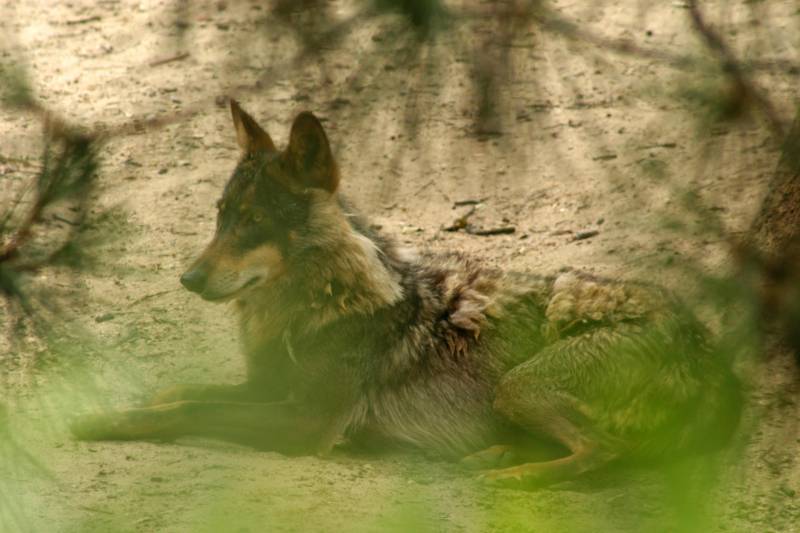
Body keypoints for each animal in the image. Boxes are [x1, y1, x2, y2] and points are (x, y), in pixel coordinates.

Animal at [72, 100, 740, 486]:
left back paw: (508, 477)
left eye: (254, 224)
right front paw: (127, 403)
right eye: (220, 218)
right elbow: (179, 393)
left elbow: (186, 409)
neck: (308, 311)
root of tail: (715, 357)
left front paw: (102, 420)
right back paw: (498, 459)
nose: (187, 279)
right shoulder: (264, 387)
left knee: (610, 452)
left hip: (518, 385)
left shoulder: (303, 422)